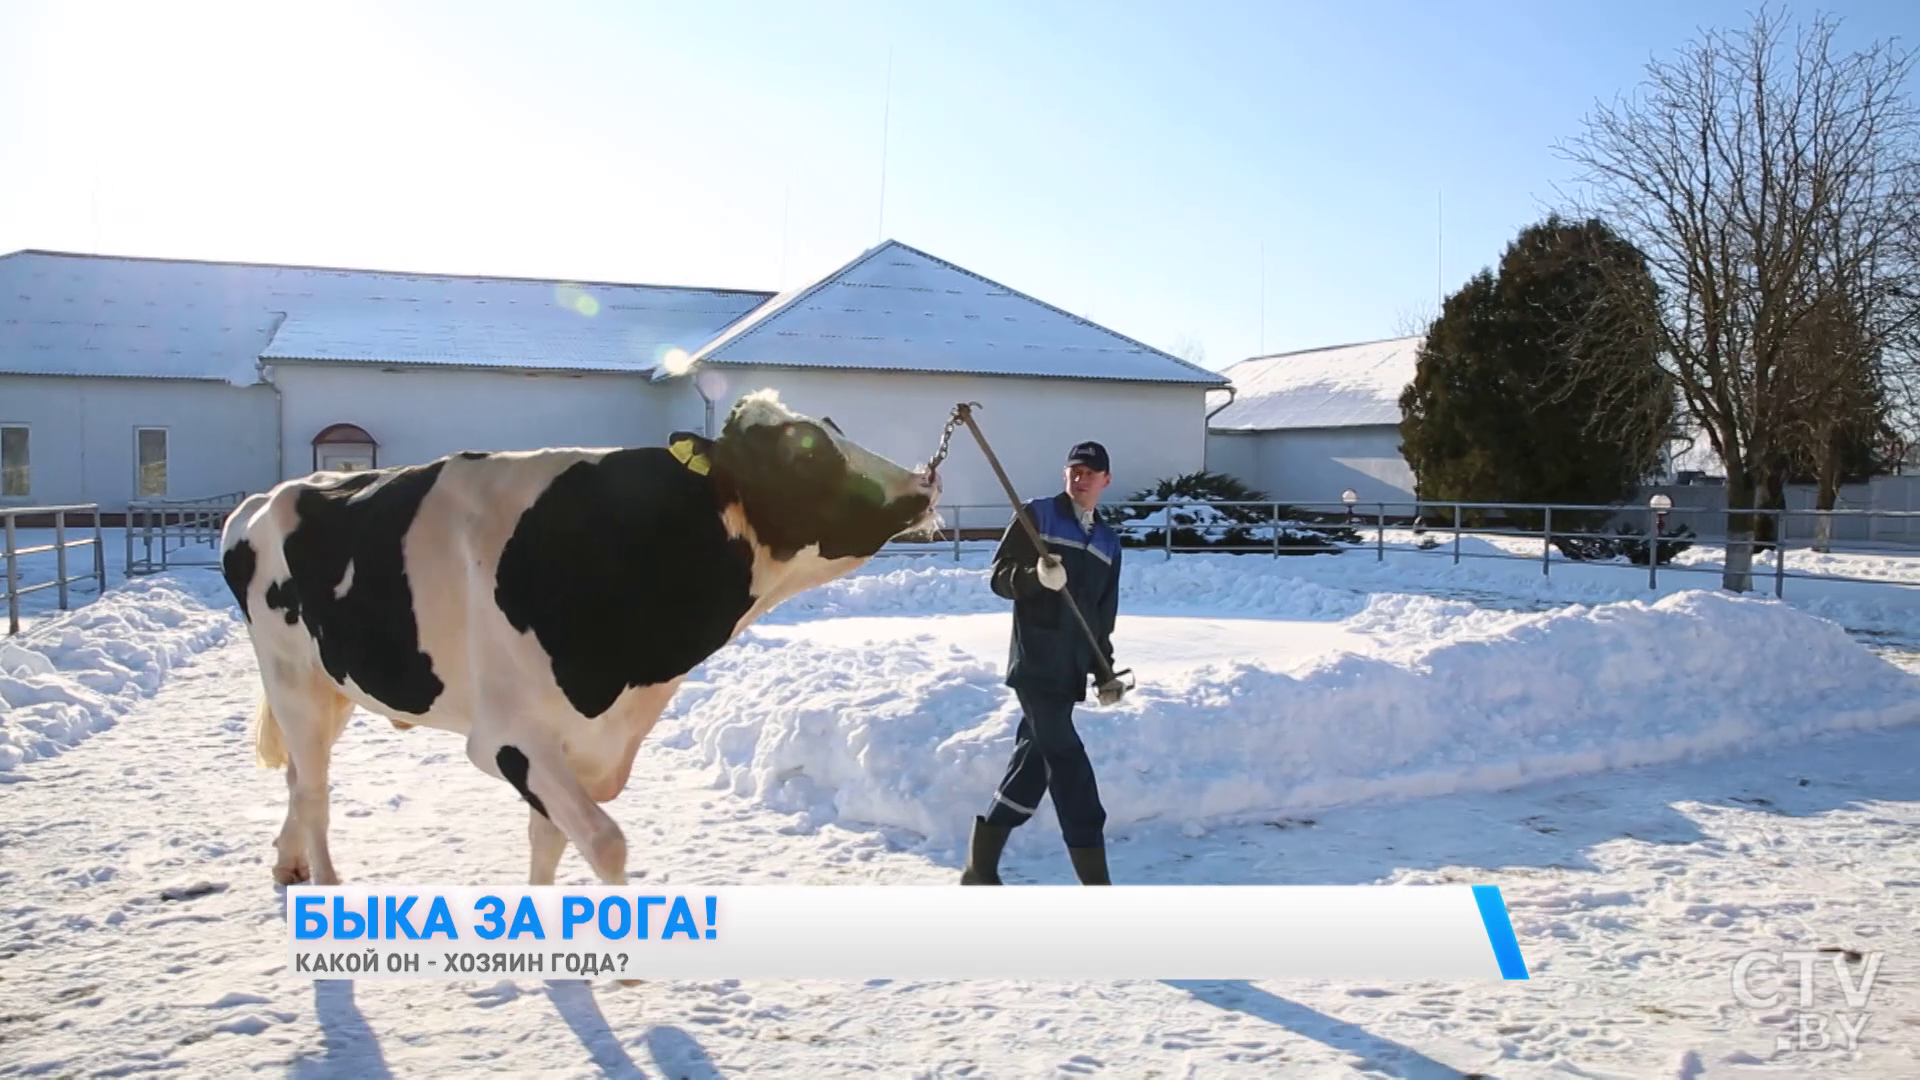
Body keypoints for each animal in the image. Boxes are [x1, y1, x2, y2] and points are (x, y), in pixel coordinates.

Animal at [220, 390, 940, 887]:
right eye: (801, 453)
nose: (921, 482)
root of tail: (269, 496)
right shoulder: (509, 737)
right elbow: (604, 840)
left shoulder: (583, 740)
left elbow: (550, 840)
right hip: (291, 676)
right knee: (314, 788)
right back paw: (326, 883)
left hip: (330, 684)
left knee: (298, 775)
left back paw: (288, 863)